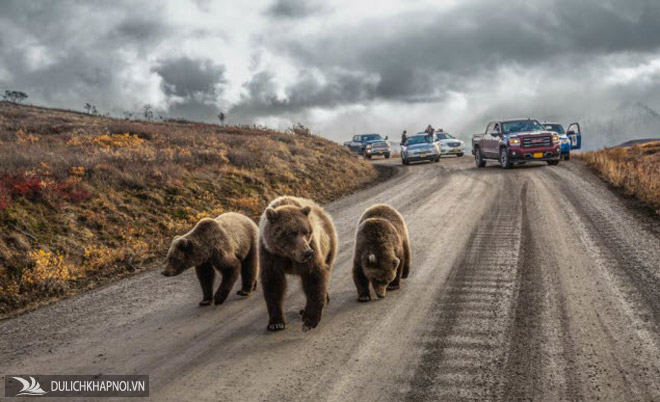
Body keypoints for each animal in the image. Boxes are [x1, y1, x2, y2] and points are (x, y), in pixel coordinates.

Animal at [258, 196, 338, 332]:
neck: (287, 255)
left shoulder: (312, 249)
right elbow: (273, 285)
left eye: (306, 231)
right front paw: (276, 323)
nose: (307, 252)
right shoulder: (270, 255)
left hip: (329, 243)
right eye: (292, 232)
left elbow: (314, 277)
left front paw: (310, 320)